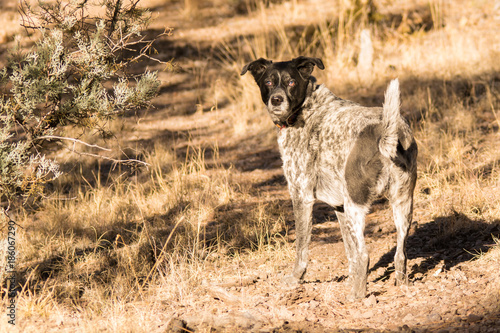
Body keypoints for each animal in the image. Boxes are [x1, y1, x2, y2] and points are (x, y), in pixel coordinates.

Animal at [240, 55, 416, 300]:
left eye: (291, 82)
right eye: (268, 82)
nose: (276, 100)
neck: (306, 108)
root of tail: (386, 134)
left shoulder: (301, 197)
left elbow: (301, 249)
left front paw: (295, 279)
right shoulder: (339, 207)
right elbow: (350, 253)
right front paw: (352, 279)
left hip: (356, 205)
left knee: (365, 255)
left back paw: (356, 297)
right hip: (402, 203)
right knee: (400, 254)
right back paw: (399, 286)